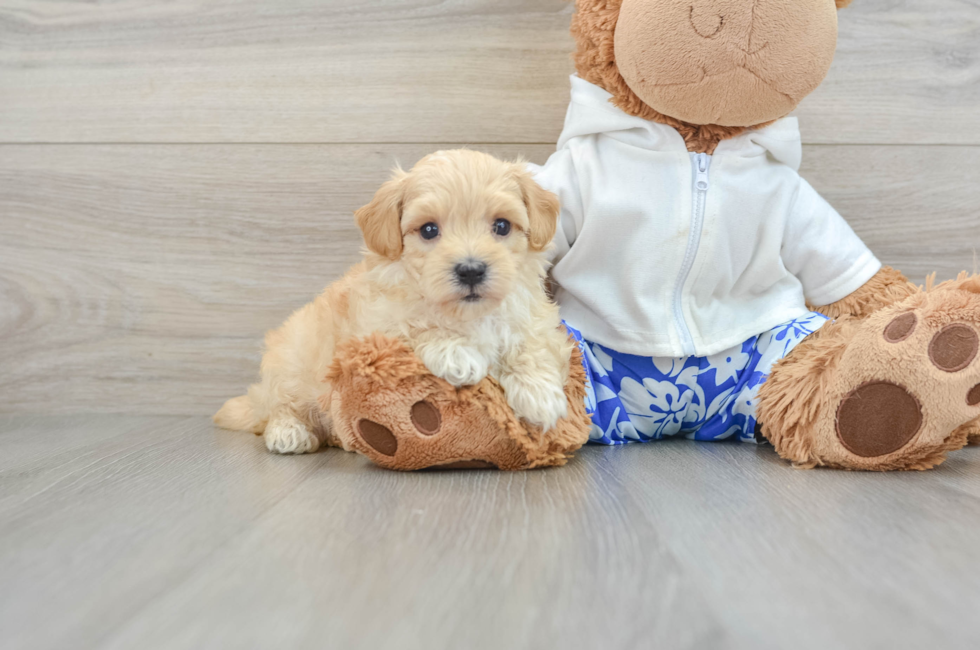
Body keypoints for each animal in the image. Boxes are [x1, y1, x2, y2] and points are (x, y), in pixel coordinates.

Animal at [211, 149, 572, 454]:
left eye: (501, 225)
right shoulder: (372, 329)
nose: (471, 270)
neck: (467, 314)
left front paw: (540, 394)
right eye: (429, 230)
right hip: (292, 362)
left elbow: (531, 342)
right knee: (278, 406)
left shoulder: (534, 316)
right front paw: (455, 351)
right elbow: (415, 324)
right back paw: (289, 432)